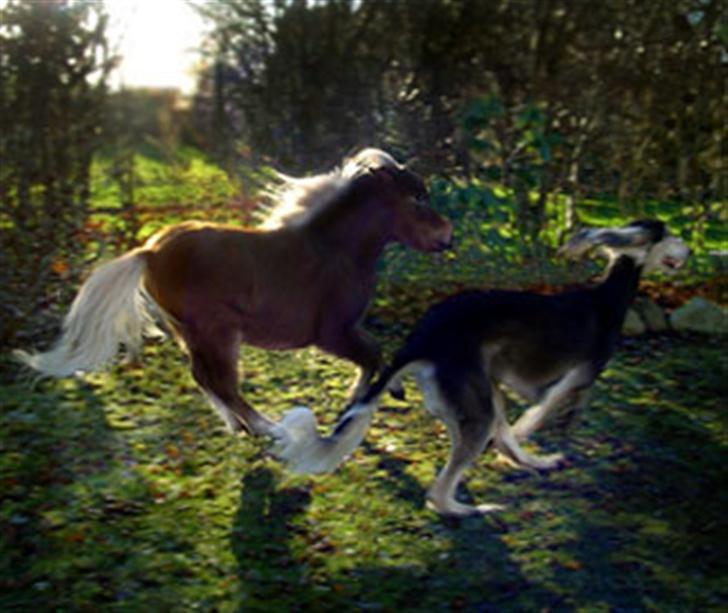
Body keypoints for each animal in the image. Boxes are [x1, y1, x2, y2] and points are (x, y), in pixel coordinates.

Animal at [14, 147, 452, 436]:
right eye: (417, 199)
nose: (448, 235)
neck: (335, 250)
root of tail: (150, 250)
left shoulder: (343, 332)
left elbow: (379, 354)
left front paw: (385, 392)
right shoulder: (331, 334)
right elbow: (374, 354)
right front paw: (360, 401)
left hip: (191, 333)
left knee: (206, 379)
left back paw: (242, 426)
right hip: (217, 332)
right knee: (222, 383)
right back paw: (268, 428)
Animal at [272, 220, 688, 516]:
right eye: (670, 234)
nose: (686, 248)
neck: (606, 299)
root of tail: (421, 338)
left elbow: (533, 426)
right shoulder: (574, 378)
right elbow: (541, 412)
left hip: (483, 390)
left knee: (497, 440)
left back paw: (535, 463)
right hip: (478, 405)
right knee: (440, 491)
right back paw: (472, 510)